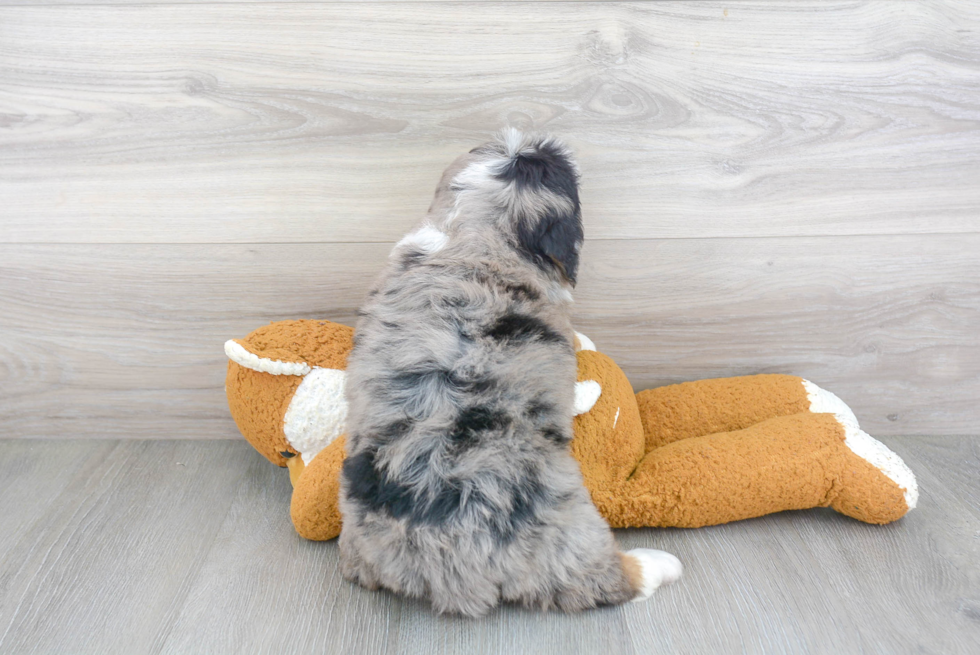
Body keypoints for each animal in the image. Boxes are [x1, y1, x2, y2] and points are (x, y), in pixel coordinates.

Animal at [336, 131, 680, 616]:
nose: (558, 144)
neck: (473, 234)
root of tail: (455, 567)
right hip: (573, 533)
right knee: (610, 580)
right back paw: (660, 563)